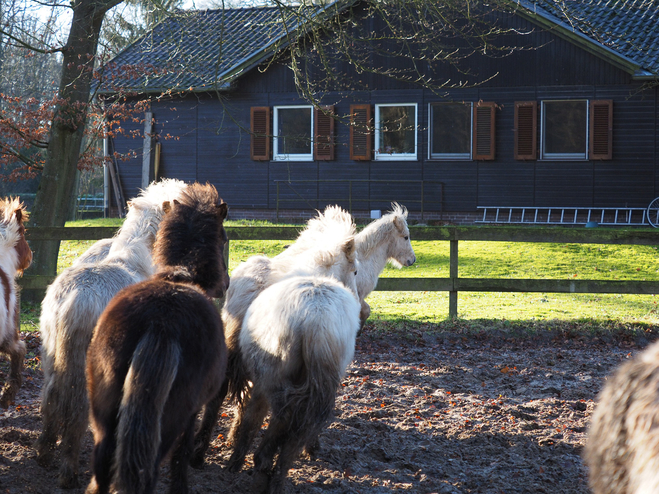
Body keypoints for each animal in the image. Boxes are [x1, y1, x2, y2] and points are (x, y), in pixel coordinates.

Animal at [35, 178, 187, 490]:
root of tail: (72, 300)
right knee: (76, 408)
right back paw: (68, 471)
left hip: (51, 355)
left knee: (50, 398)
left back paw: (44, 453)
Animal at [85, 183, 229, 494]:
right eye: (224, 237)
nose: (226, 284)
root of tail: (160, 324)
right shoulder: (192, 413)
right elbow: (181, 457)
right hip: (169, 420)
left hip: (105, 415)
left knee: (102, 467)